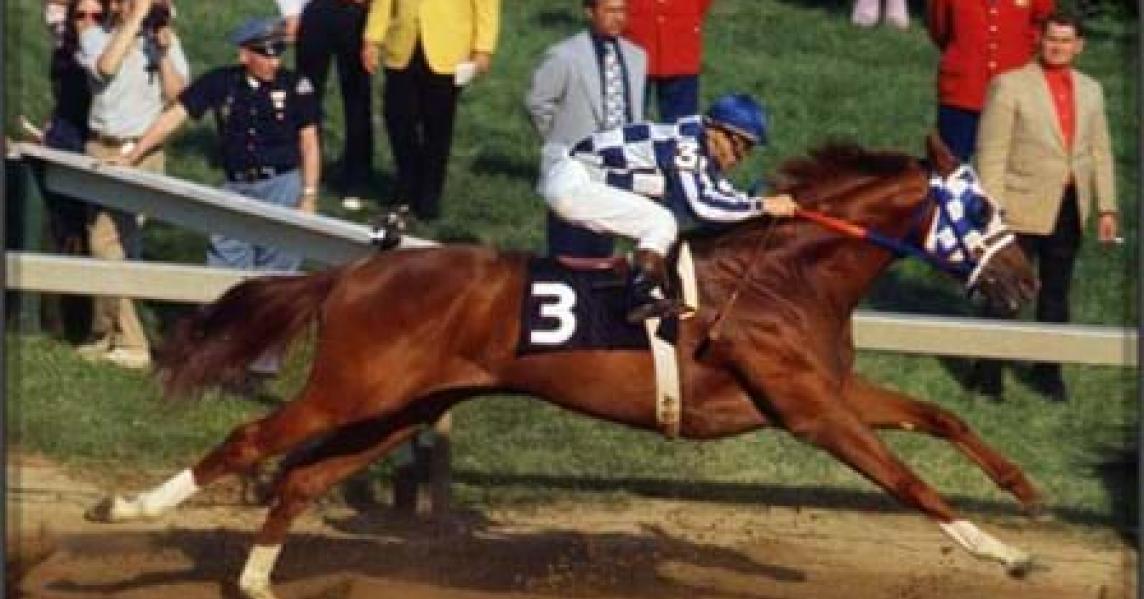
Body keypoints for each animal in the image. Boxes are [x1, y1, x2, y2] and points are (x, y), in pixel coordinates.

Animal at [87, 135, 1041, 599]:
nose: (1027, 280)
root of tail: (356, 269)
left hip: (401, 406)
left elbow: (942, 416)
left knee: (301, 477)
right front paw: (1001, 552)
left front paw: (1024, 490)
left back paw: (256, 580)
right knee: (253, 440)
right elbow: (907, 479)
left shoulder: (829, 390)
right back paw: (125, 508)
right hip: (351, 389)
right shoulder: (809, 409)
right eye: (980, 206)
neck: (787, 273)